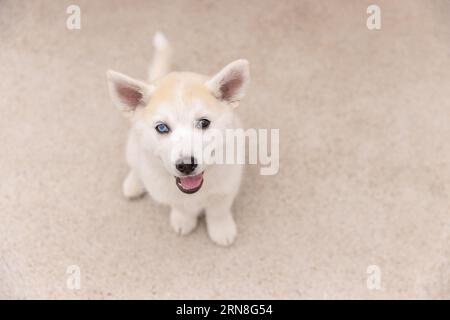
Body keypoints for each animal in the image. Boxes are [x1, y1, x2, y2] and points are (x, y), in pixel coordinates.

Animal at [107, 32, 251, 246]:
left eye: (204, 122)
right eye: (162, 128)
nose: (186, 165)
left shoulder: (227, 186)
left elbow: (218, 210)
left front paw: (221, 229)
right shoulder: (170, 193)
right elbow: (180, 206)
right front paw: (184, 220)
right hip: (133, 147)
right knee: (136, 165)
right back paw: (134, 184)